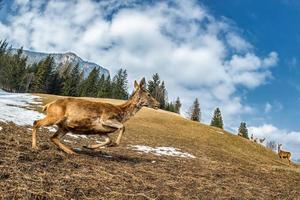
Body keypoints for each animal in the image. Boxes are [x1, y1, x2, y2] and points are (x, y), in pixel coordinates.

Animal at [31, 78, 159, 155]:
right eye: (149, 94)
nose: (158, 104)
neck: (122, 113)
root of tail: (48, 105)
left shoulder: (100, 130)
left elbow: (108, 140)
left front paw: (88, 146)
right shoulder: (105, 118)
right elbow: (122, 127)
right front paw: (114, 144)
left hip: (64, 127)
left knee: (53, 137)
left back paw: (71, 151)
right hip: (55, 116)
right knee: (36, 122)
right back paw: (35, 147)